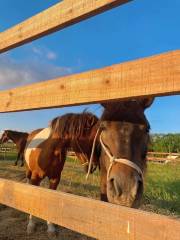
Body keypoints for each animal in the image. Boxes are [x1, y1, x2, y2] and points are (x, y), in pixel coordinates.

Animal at [24, 97, 153, 234]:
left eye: (147, 129)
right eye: (102, 129)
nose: (126, 190)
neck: (50, 148)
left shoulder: (55, 178)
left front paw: (50, 227)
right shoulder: (35, 178)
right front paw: (31, 225)